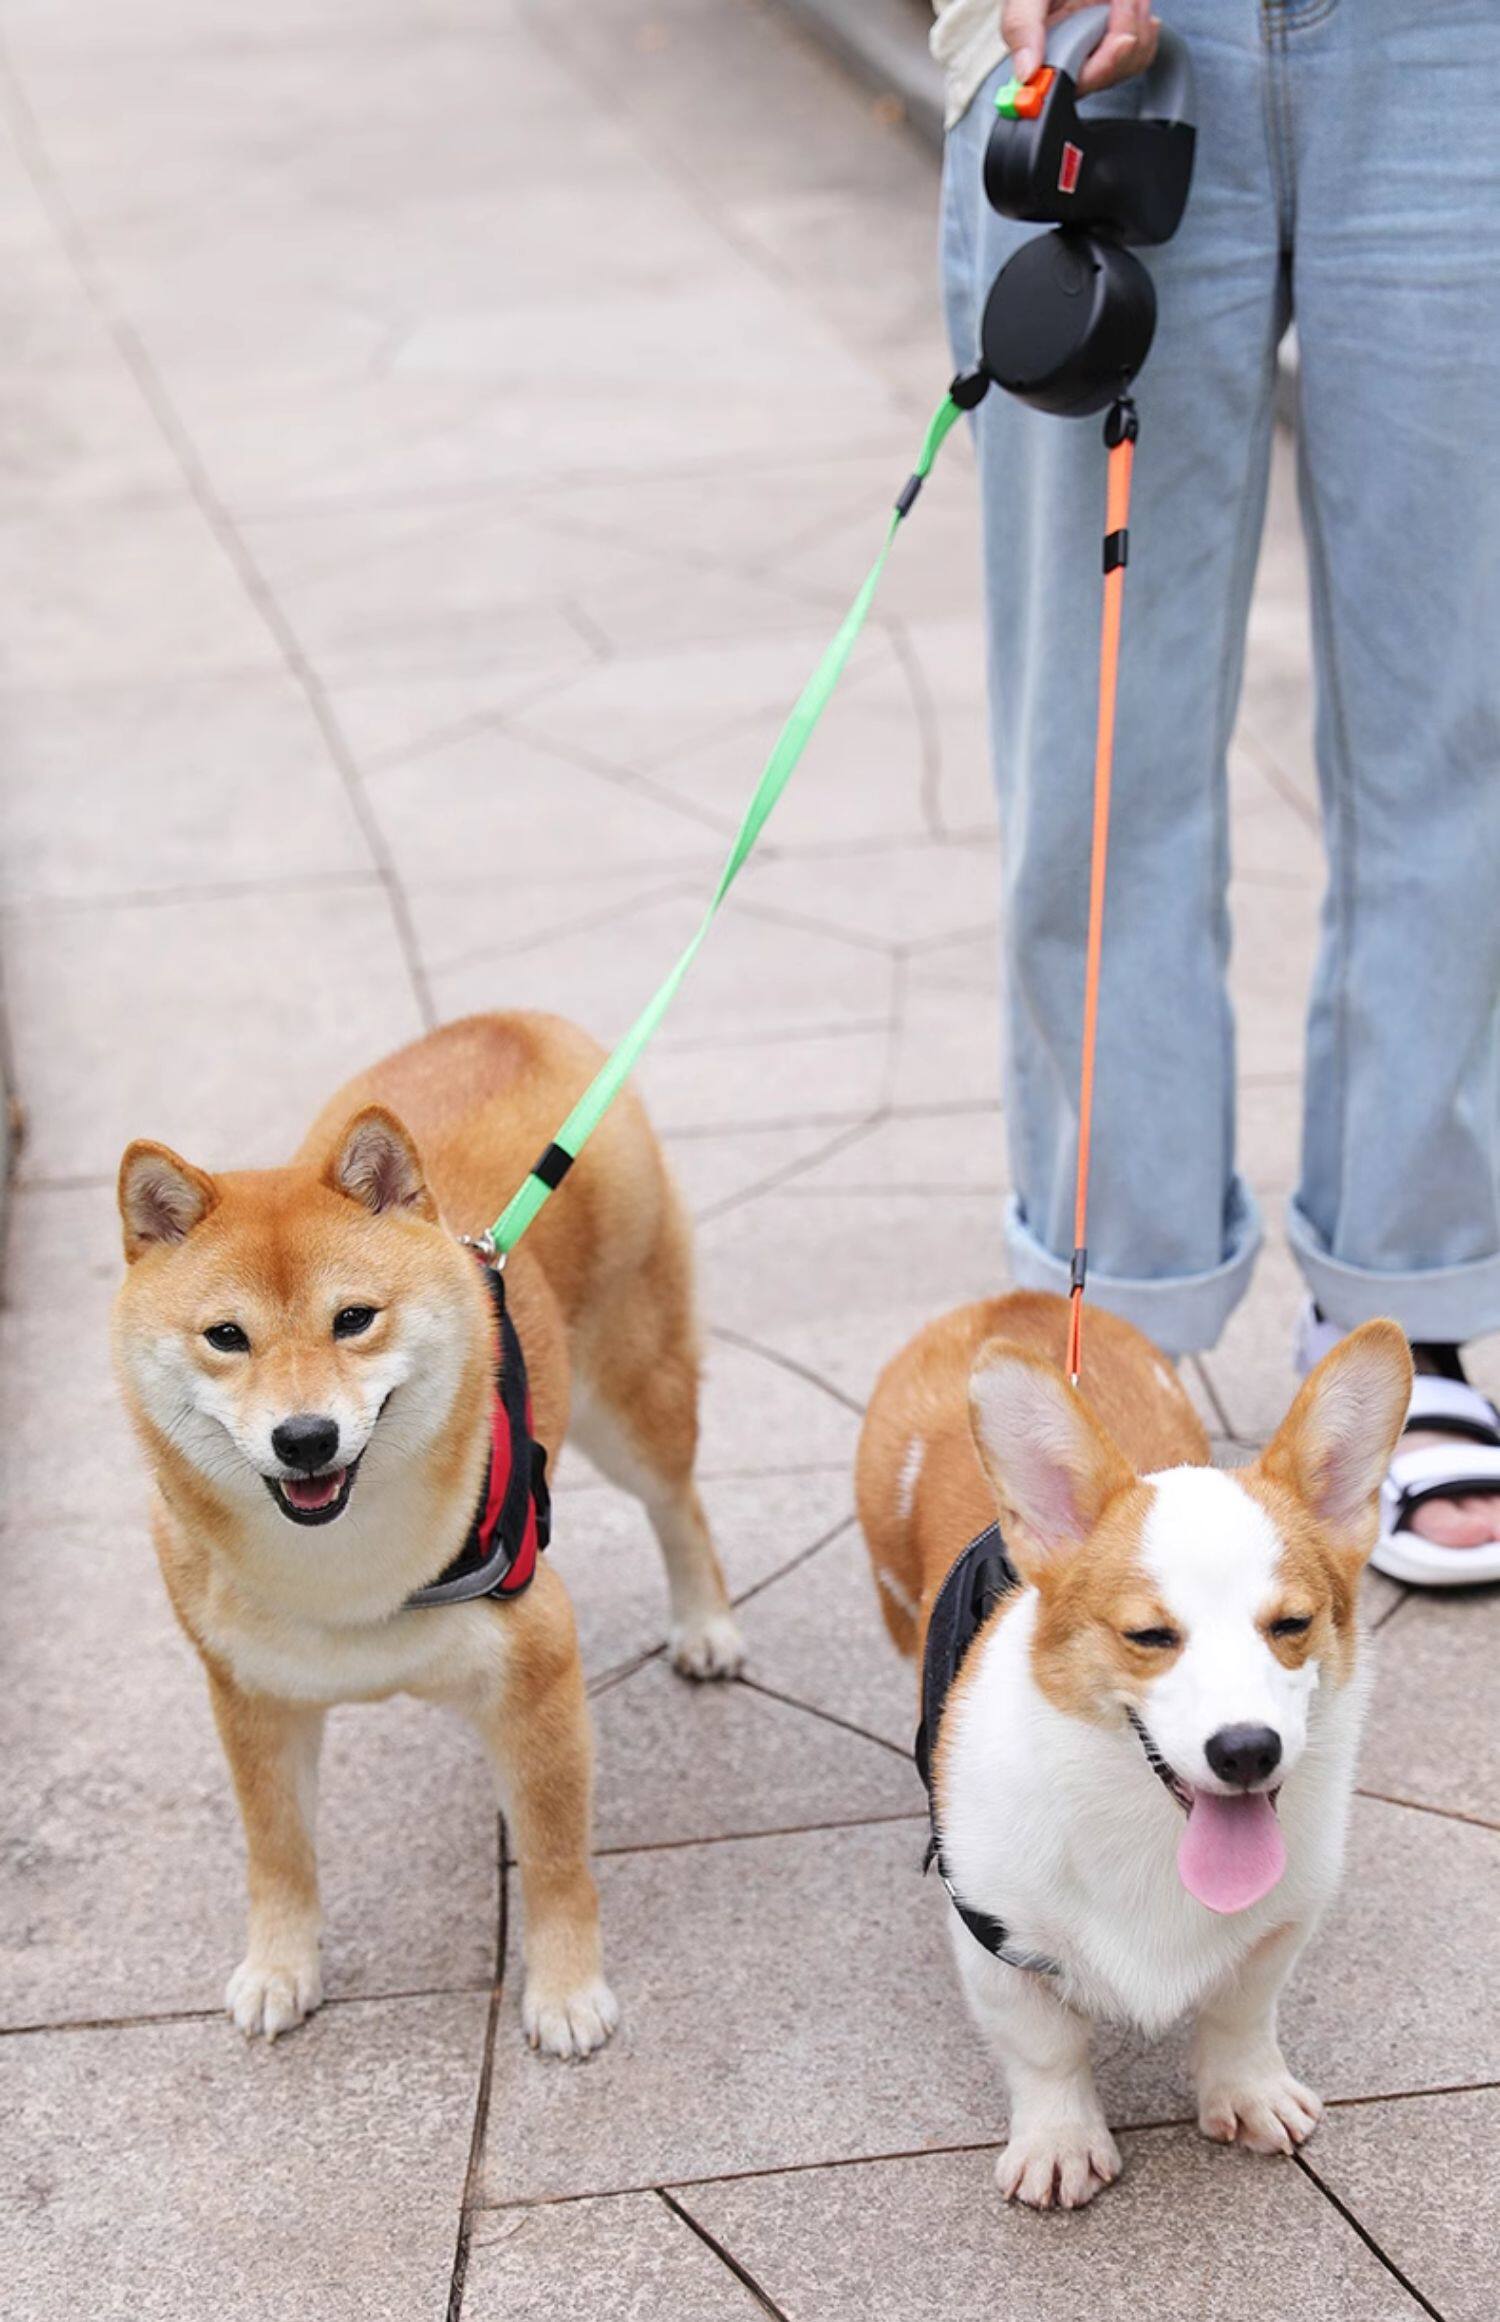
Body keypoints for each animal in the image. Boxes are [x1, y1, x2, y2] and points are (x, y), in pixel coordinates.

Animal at [111, 1011, 743, 2050]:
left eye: (354, 1319)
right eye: (226, 1338)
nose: (305, 1437)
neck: (345, 1575)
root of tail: (522, 1023)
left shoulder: (540, 1663)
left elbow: (558, 1862)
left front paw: (567, 1990)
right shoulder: (250, 1697)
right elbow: (277, 1850)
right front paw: (280, 1968)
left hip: (631, 1399)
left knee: (677, 1501)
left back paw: (706, 1626)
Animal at [856, 1289, 1410, 2209]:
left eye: (1291, 1625)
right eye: (1149, 1636)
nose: (1248, 1751)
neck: (1148, 1828)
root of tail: (1014, 1301)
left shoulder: (1279, 1926)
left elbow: (1240, 2013)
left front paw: (1249, 2094)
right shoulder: (998, 1940)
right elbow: (1045, 2049)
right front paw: (1060, 2142)